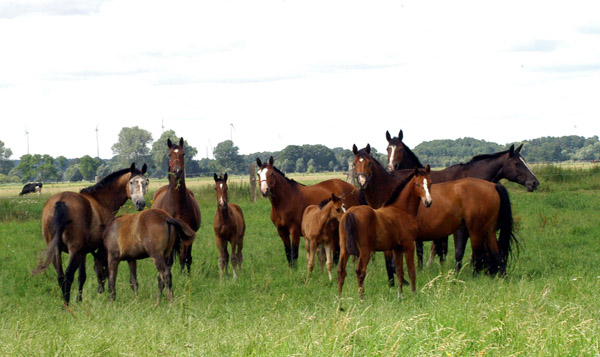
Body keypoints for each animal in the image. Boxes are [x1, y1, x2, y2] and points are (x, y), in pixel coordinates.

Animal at [32, 163, 148, 304]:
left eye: (146, 182)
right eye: (131, 182)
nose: (140, 203)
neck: (101, 200)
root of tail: (61, 202)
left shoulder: (84, 251)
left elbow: (82, 276)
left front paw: (79, 299)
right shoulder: (101, 247)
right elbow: (104, 269)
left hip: (57, 251)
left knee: (61, 276)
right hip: (74, 251)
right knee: (68, 275)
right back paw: (66, 305)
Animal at [152, 137, 202, 272]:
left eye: (183, 154)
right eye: (169, 155)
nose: (178, 171)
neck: (177, 204)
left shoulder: (187, 235)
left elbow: (184, 257)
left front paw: (185, 275)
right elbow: (169, 260)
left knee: (186, 256)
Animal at [338, 165, 432, 296]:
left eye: (430, 183)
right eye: (418, 184)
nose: (428, 202)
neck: (401, 210)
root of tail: (351, 212)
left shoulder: (397, 248)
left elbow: (399, 271)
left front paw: (400, 295)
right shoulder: (408, 245)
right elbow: (411, 270)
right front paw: (414, 294)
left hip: (344, 249)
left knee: (341, 271)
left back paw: (339, 297)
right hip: (365, 251)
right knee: (360, 271)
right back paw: (361, 297)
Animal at [352, 144, 516, 276]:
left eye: (369, 163)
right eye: (354, 164)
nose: (362, 181)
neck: (390, 191)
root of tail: (492, 186)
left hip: (476, 230)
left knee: (479, 255)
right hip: (489, 230)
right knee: (497, 252)